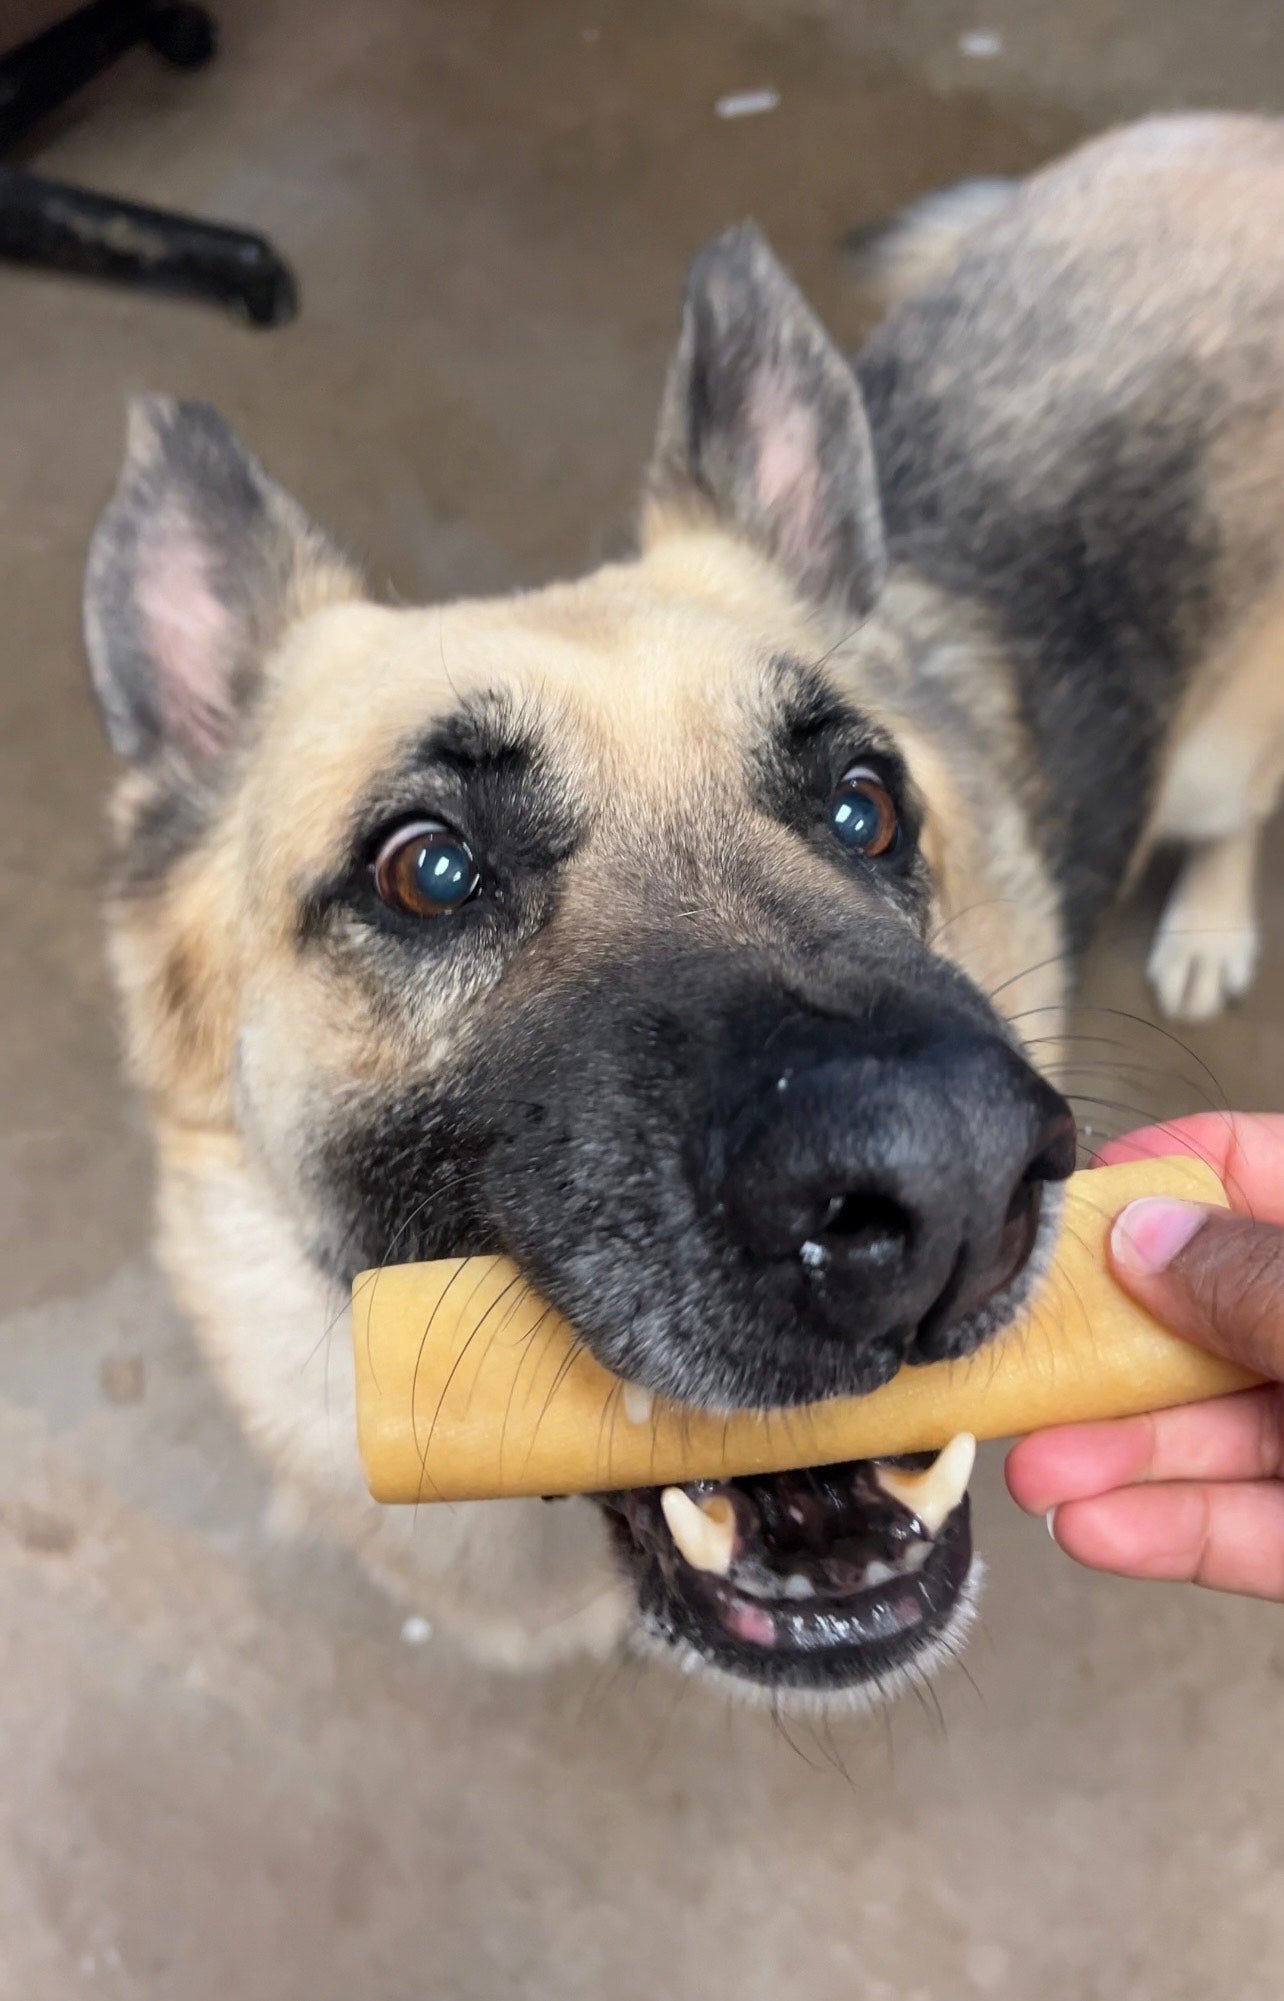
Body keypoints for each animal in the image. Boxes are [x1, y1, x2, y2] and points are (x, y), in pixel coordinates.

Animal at [77, 113, 1280, 1704]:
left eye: (864, 806)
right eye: (427, 869)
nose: (952, 1181)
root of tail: (1224, 138)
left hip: (1221, 754)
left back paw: (1210, 924)